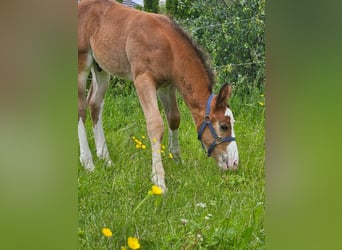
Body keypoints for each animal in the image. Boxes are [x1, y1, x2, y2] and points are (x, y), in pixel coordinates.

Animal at [78, 0, 238, 191]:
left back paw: (105, 158)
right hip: (81, 63)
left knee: (94, 104)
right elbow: (155, 125)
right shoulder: (143, 80)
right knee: (81, 108)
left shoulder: (167, 85)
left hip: (101, 68)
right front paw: (159, 179)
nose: (235, 163)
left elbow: (174, 118)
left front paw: (177, 159)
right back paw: (88, 163)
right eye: (223, 126)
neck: (168, 46)